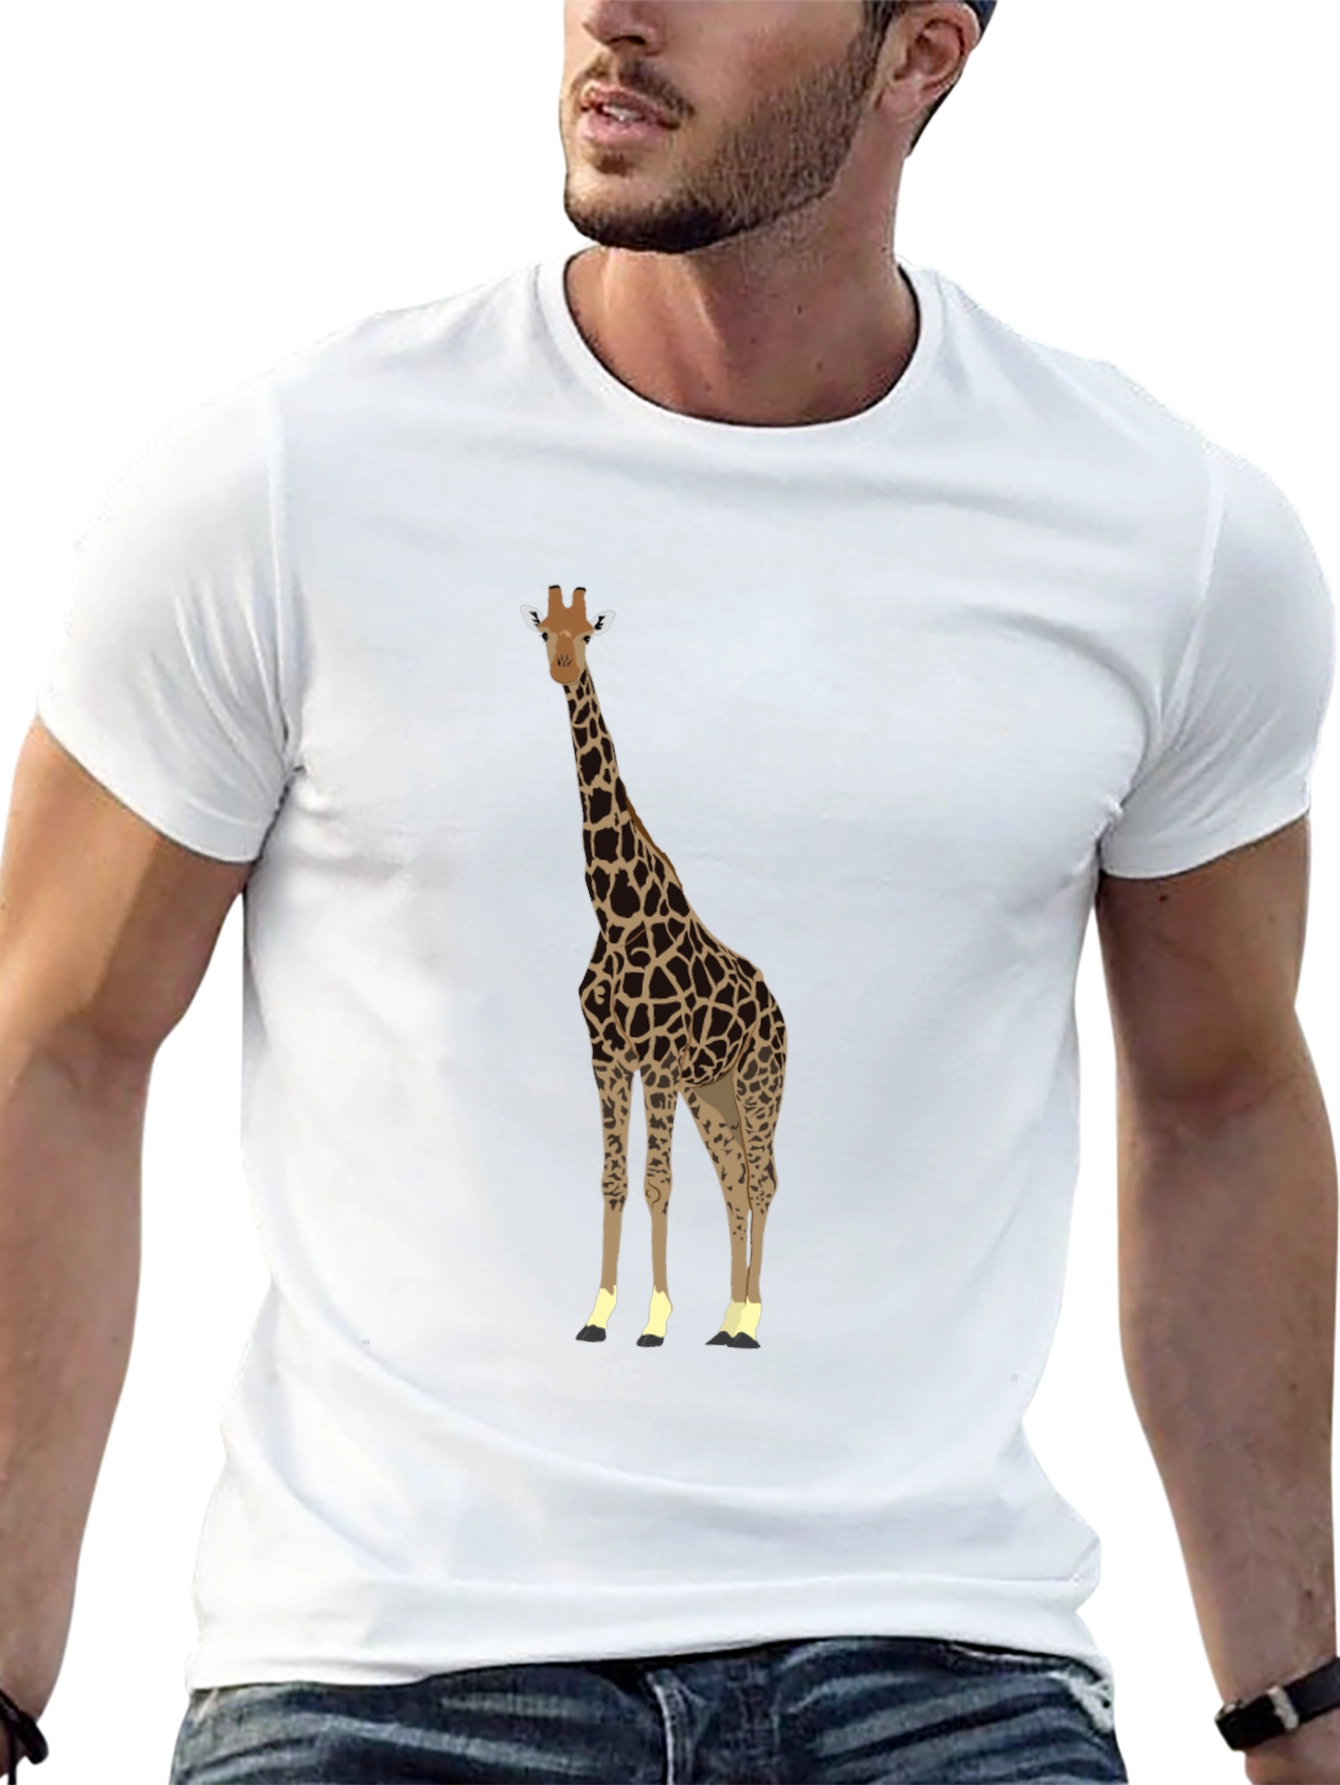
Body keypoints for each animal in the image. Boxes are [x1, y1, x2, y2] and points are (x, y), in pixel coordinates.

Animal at [523, 585, 787, 1349]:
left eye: (588, 634)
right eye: (545, 631)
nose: (560, 667)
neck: (614, 912)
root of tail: (779, 1008)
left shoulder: (660, 1059)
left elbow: (656, 1181)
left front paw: (655, 1319)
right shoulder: (608, 1056)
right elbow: (613, 1178)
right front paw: (598, 1313)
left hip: (756, 1081)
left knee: (763, 1180)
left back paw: (750, 1321)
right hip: (714, 1091)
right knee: (735, 1181)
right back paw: (727, 1319)